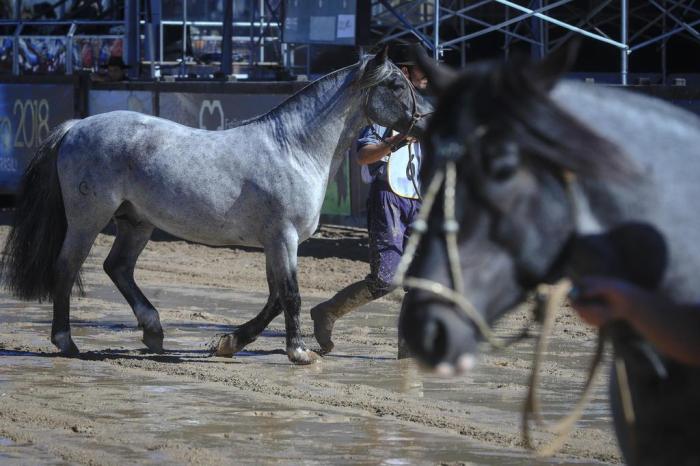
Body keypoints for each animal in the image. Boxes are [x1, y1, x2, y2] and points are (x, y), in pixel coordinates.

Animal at [1, 49, 432, 366]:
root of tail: (75, 127)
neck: (294, 149)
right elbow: (290, 295)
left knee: (118, 267)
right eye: (396, 84)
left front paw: (228, 343)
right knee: (67, 267)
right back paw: (66, 342)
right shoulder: (284, 237)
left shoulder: (274, 243)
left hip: (136, 222)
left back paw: (153, 332)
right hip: (88, 218)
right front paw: (299, 353)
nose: (428, 120)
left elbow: (275, 298)